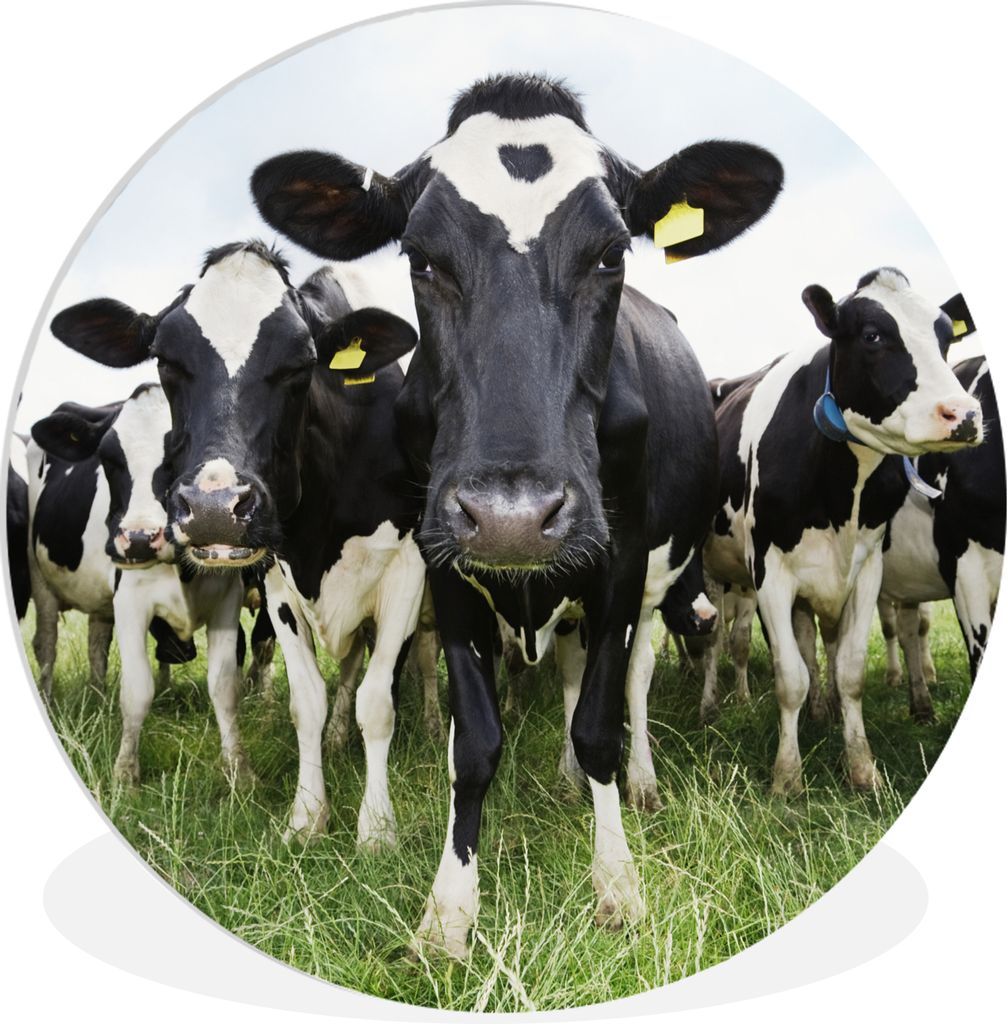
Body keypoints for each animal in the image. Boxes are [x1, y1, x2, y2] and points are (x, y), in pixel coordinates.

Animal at [48, 241, 427, 851]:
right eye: (166, 360)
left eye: (302, 364)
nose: (213, 508)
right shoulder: (277, 581)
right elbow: (306, 702)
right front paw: (307, 817)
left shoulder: (407, 574)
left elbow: (378, 702)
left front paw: (376, 829)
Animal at [249, 72, 784, 956]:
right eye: (421, 258)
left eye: (611, 253)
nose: (512, 517)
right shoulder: (443, 563)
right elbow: (473, 741)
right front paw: (448, 911)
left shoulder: (619, 561)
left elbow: (599, 724)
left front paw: (617, 884)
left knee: (629, 682)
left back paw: (632, 784)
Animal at [705, 268, 983, 796]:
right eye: (872, 335)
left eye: (945, 336)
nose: (965, 414)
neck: (839, 493)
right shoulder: (769, 572)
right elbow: (789, 676)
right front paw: (787, 778)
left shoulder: (867, 567)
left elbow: (849, 669)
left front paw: (861, 766)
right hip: (714, 573)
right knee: (715, 640)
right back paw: (711, 704)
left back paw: (824, 710)